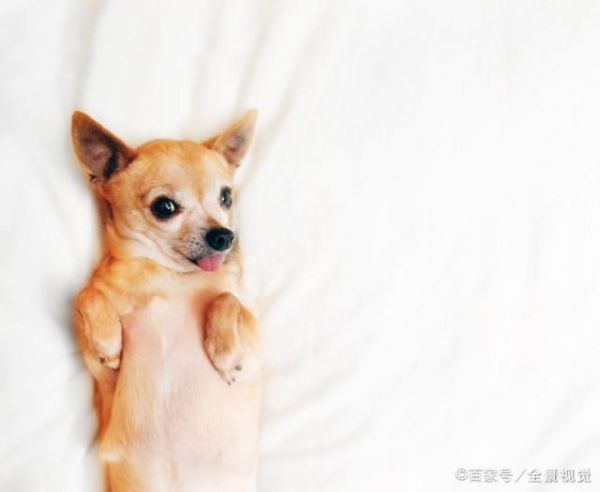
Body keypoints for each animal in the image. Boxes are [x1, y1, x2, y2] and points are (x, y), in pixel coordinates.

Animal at [71, 110, 261, 492]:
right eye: (165, 207)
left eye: (226, 197)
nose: (224, 236)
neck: (166, 276)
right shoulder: (104, 375)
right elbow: (86, 293)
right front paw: (107, 339)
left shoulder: (253, 354)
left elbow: (226, 300)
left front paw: (223, 351)